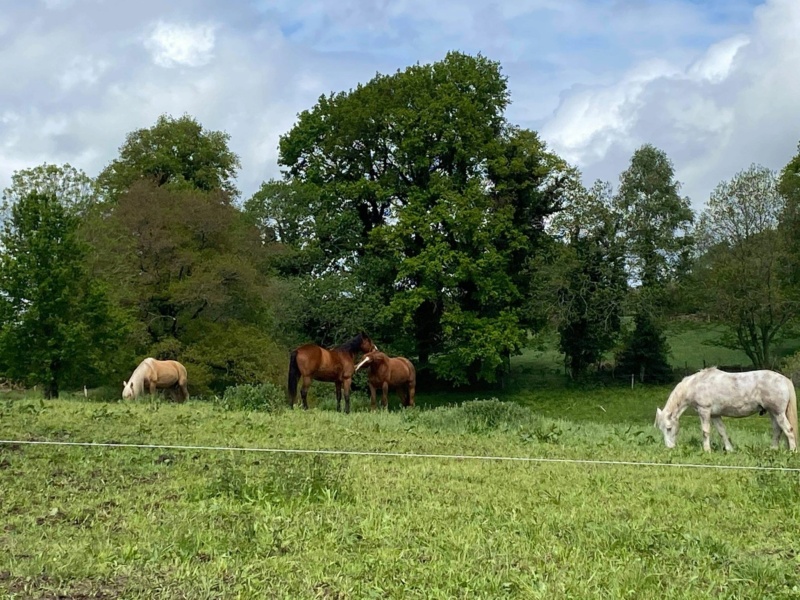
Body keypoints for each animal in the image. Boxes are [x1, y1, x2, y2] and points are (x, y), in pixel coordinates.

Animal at [652, 368, 796, 452]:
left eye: (669, 428)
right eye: (661, 429)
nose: (669, 447)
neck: (695, 384)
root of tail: (784, 380)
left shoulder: (704, 411)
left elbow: (705, 432)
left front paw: (707, 450)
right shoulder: (715, 415)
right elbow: (722, 432)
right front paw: (729, 449)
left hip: (778, 413)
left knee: (788, 430)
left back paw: (792, 452)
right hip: (772, 413)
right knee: (777, 430)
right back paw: (773, 449)